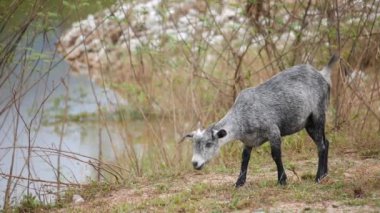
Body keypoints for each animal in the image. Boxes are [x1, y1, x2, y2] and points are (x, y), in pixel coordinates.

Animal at [181, 54, 338, 186]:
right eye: (194, 145)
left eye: (208, 144)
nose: (195, 163)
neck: (242, 116)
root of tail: (322, 73)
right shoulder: (248, 141)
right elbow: (244, 159)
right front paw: (239, 183)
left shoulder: (273, 132)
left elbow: (276, 156)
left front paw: (282, 180)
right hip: (309, 123)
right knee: (326, 142)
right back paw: (325, 174)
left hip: (318, 115)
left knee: (321, 145)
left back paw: (318, 177)